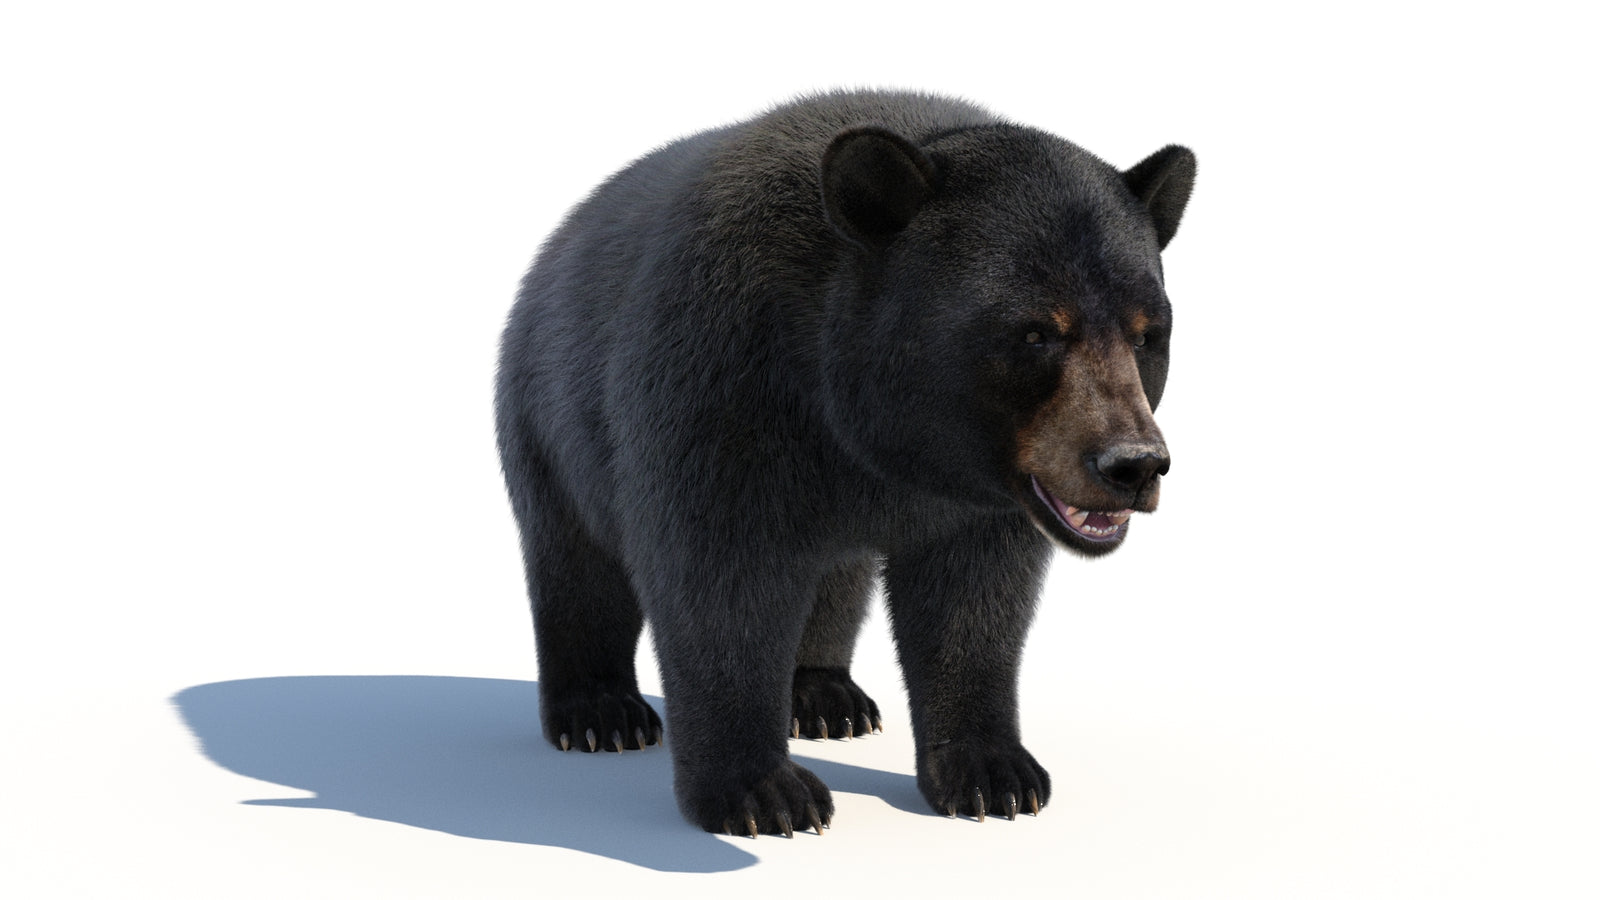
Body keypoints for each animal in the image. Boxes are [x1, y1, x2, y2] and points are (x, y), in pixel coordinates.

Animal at [495, 89, 1194, 837]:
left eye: (1147, 333)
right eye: (1035, 332)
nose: (1134, 465)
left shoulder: (983, 494)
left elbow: (974, 602)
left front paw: (993, 773)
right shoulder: (721, 384)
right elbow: (718, 579)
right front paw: (760, 793)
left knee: (835, 574)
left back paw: (824, 695)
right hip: (550, 415)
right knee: (575, 562)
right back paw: (601, 712)